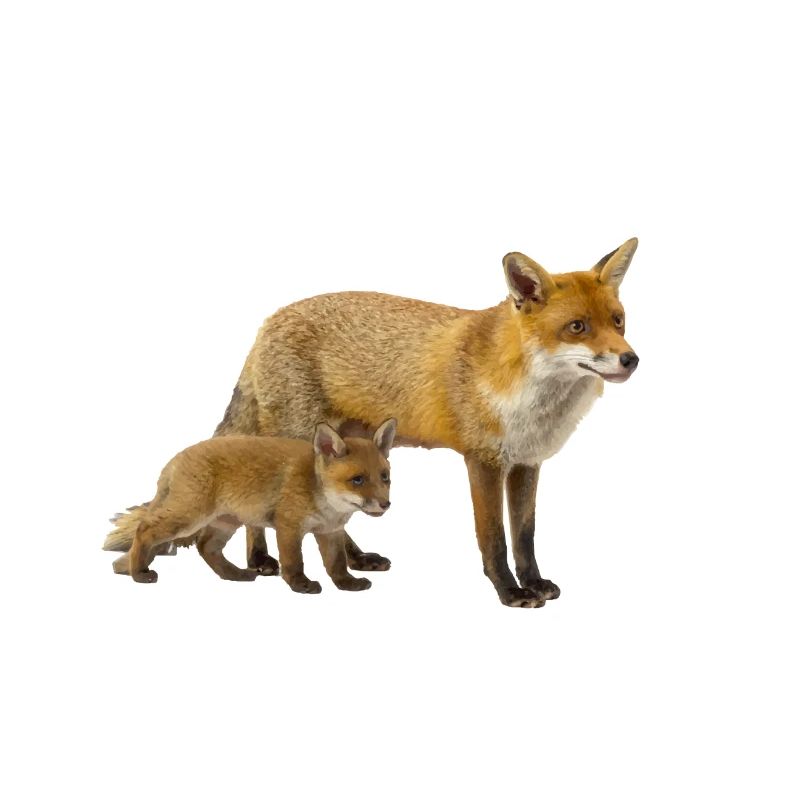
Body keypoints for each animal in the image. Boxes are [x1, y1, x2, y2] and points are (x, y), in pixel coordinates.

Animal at [103, 419, 397, 591]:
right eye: (357, 480)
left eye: (385, 477)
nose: (386, 504)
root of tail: (175, 459)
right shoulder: (288, 527)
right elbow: (294, 562)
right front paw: (300, 585)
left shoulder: (329, 532)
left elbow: (337, 564)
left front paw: (347, 584)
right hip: (188, 518)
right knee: (144, 530)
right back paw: (139, 573)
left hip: (225, 522)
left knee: (206, 548)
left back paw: (234, 575)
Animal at [204, 238, 639, 607]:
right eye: (578, 327)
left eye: (618, 321)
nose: (630, 359)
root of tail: (268, 321)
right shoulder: (482, 459)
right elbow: (494, 537)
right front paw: (510, 591)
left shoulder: (526, 462)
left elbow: (525, 535)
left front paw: (533, 582)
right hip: (298, 440)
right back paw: (261, 561)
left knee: (333, 520)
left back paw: (353, 561)